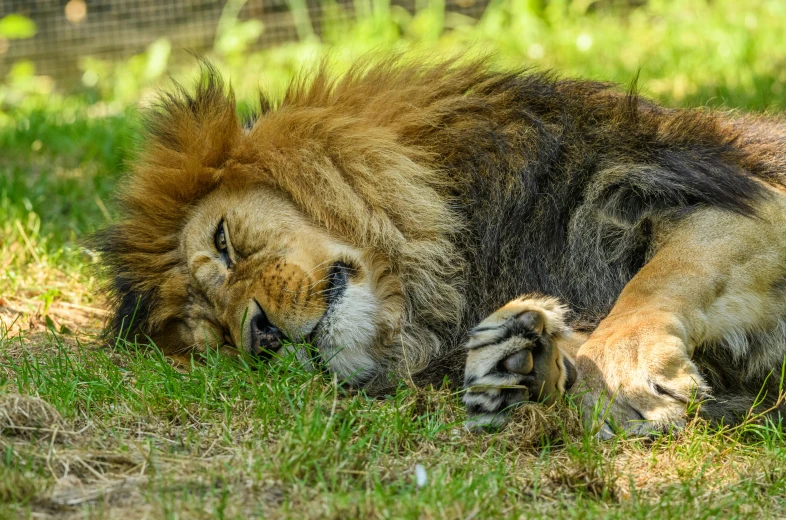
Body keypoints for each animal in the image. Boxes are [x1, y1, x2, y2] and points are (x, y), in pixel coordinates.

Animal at [98, 59, 784, 436]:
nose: (260, 336)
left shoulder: (736, 195)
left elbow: (659, 279)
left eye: (224, 242)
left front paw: (623, 366)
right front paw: (519, 352)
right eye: (218, 339)